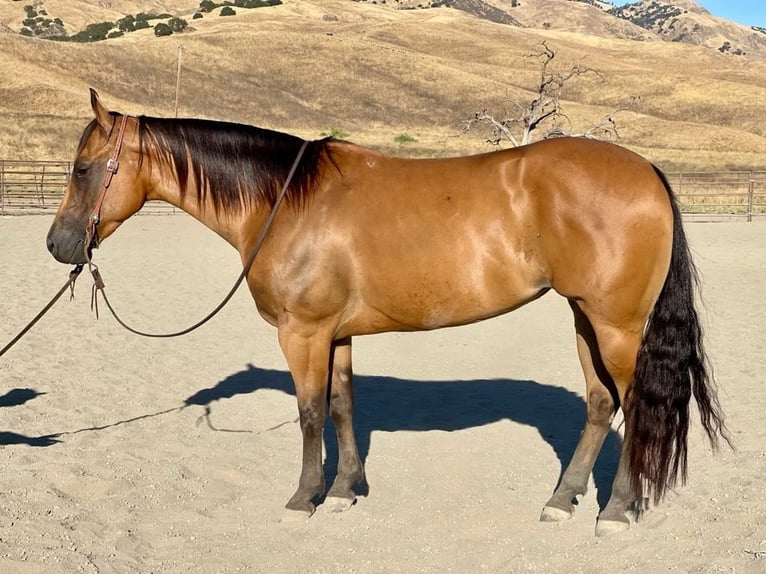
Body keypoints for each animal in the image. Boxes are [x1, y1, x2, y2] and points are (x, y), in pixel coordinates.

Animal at [47, 90, 728, 536]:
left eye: (82, 169)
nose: (59, 245)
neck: (286, 202)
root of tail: (646, 172)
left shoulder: (303, 334)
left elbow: (309, 414)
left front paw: (305, 497)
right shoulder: (337, 334)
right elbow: (344, 406)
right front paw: (346, 491)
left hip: (616, 325)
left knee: (635, 404)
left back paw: (615, 510)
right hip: (586, 319)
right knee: (600, 402)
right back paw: (562, 501)